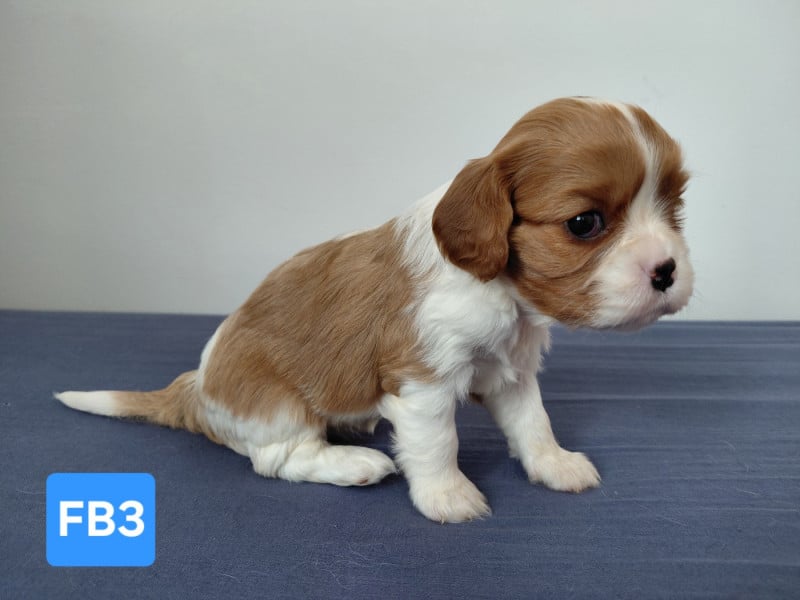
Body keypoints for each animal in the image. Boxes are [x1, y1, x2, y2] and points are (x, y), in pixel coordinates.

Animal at [57, 97, 693, 523]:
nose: (667, 270)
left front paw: (554, 464)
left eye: (675, 208)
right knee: (279, 460)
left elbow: (533, 421)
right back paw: (354, 463)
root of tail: (196, 388)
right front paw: (447, 496)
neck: (502, 293)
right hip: (279, 406)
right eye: (584, 223)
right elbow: (438, 442)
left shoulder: (509, 370)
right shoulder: (421, 378)